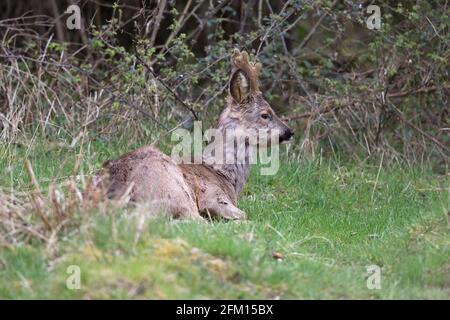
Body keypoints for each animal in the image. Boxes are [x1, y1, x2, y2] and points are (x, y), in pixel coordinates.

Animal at [89, 48, 294, 221]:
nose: (290, 132)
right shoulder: (213, 195)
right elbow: (242, 214)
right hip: (172, 188)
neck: (224, 175)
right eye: (266, 114)